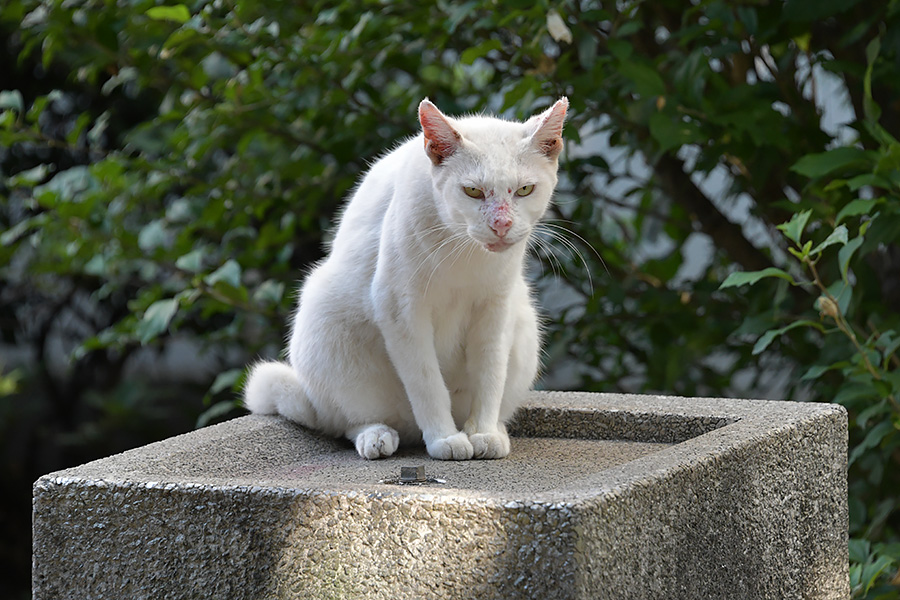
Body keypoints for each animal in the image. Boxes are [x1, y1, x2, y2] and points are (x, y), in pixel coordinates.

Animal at [243, 98, 568, 462]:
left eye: (525, 190)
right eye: (472, 191)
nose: (501, 225)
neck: (464, 251)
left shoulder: (497, 307)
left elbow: (490, 373)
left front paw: (483, 431)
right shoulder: (401, 310)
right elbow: (426, 382)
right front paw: (444, 438)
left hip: (525, 325)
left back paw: (487, 429)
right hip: (325, 324)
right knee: (346, 422)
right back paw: (377, 436)